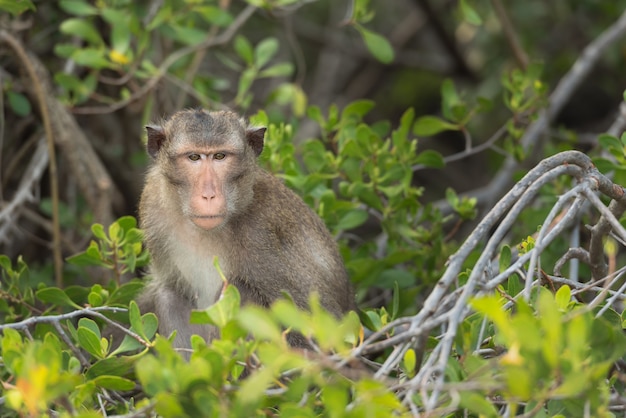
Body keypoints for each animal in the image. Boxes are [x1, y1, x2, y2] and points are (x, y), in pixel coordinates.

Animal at [134, 108, 354, 350]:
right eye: (194, 157)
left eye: (220, 156)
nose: (208, 195)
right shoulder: (152, 206)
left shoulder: (261, 236)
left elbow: (327, 330)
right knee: (168, 296)